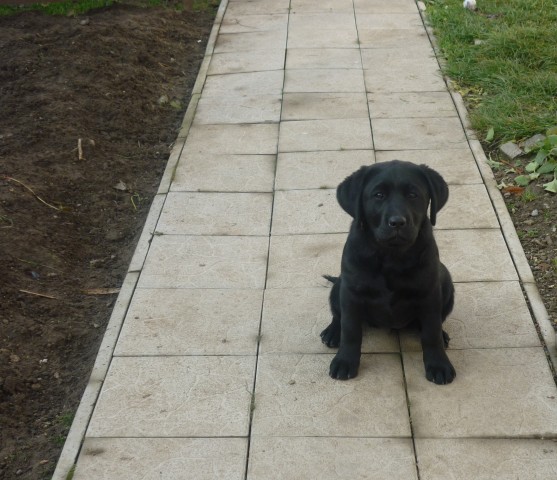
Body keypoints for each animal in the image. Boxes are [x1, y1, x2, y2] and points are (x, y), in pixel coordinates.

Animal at [321, 160, 456, 385]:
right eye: (378, 195)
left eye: (413, 195)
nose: (397, 222)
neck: (391, 256)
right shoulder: (351, 292)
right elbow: (350, 330)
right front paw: (345, 361)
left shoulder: (429, 294)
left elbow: (431, 333)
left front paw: (439, 364)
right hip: (340, 284)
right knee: (338, 314)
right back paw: (332, 332)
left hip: (445, 279)